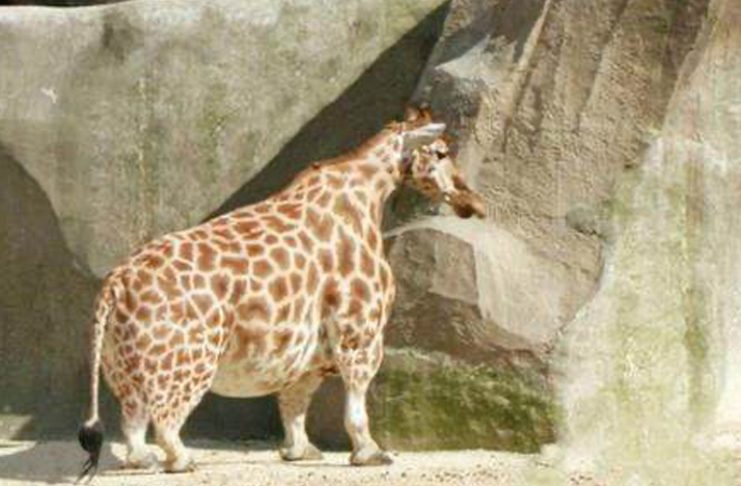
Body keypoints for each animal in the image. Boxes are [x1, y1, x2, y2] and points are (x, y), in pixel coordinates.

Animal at [77, 108, 486, 478]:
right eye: (441, 153)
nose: (474, 202)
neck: (367, 196)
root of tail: (115, 284)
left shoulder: (311, 349)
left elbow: (293, 402)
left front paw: (299, 452)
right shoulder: (360, 332)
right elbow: (355, 407)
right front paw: (370, 454)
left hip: (123, 366)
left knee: (132, 423)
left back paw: (143, 461)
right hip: (188, 361)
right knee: (164, 421)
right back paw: (182, 461)